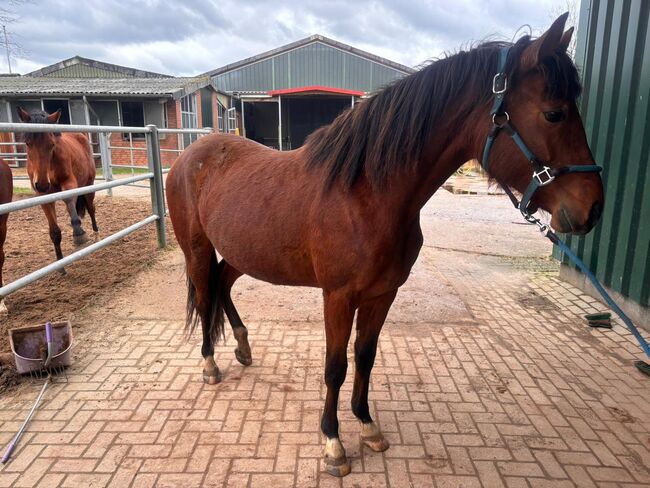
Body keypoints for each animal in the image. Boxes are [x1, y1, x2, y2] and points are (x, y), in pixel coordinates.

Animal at [17, 108, 97, 266]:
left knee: (91, 209)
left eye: (51, 144)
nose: (42, 184)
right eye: (28, 143)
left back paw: (96, 235)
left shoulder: (69, 183)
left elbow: (68, 200)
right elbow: (54, 231)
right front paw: (60, 265)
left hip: (88, 185)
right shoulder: (43, 196)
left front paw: (79, 233)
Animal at [166, 14, 604, 476]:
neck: (366, 194)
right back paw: (210, 363)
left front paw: (367, 425)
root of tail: (191, 153)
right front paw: (333, 443)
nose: (593, 208)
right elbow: (336, 367)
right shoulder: (338, 297)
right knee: (206, 292)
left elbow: (365, 356)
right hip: (197, 249)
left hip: (242, 252)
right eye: (554, 114)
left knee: (223, 284)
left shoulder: (383, 294)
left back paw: (243, 347)